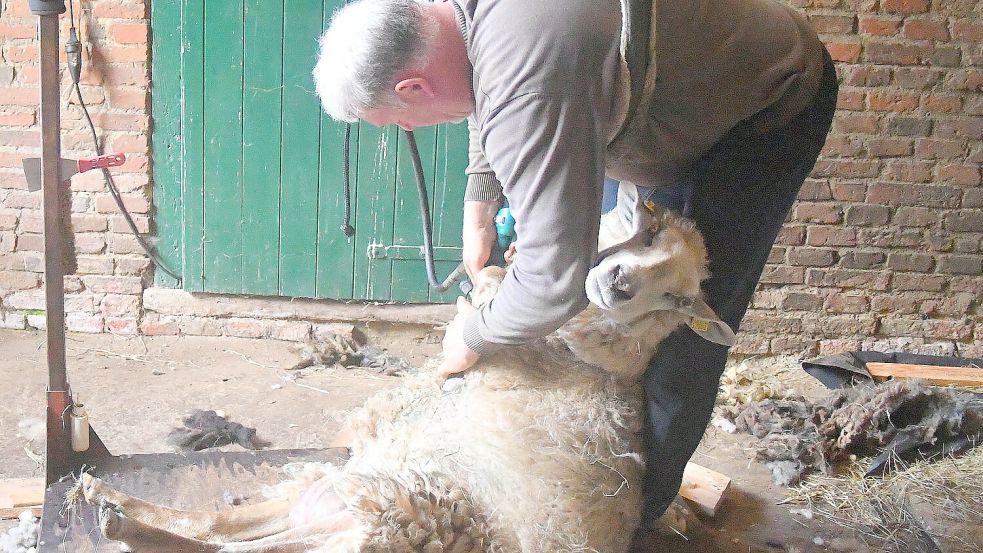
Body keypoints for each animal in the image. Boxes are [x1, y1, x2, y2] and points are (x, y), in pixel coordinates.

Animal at [80, 204, 736, 552]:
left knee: (222, 542)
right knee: (215, 527)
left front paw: (490, 282)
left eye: (680, 300)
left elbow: (491, 296)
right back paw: (108, 501)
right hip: (351, 489)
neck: (584, 348)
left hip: (389, 514)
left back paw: (120, 521)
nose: (620, 285)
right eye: (649, 236)